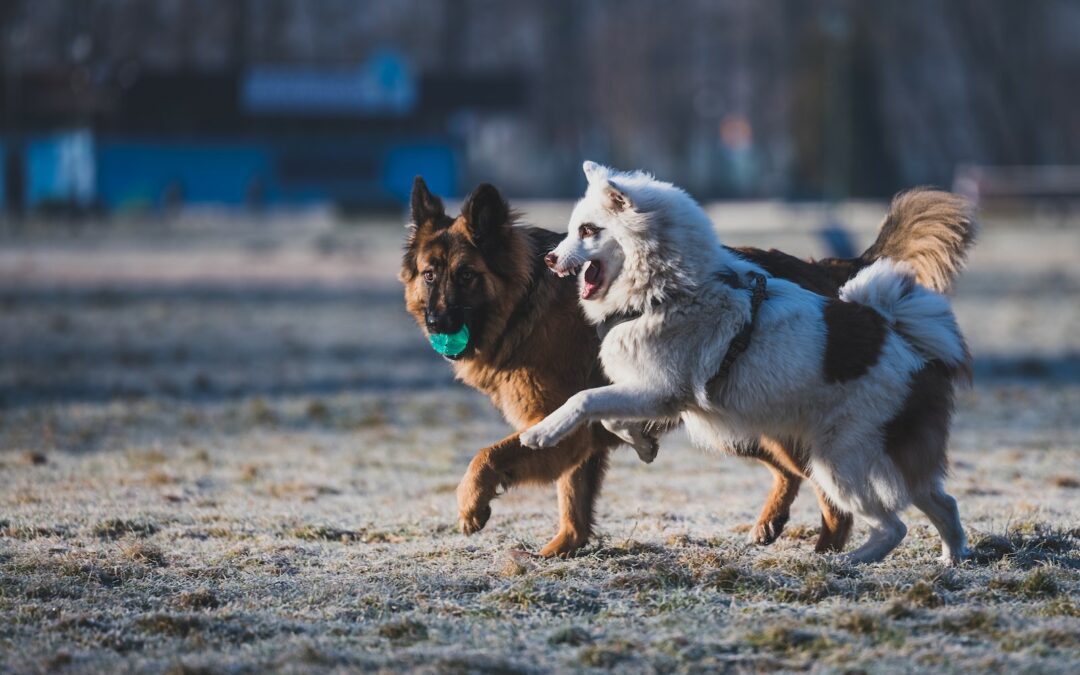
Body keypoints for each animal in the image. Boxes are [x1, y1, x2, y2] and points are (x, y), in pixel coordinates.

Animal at [401, 176, 976, 557]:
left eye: (466, 275)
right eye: (430, 274)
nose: (436, 320)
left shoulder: (622, 401)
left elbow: (525, 440)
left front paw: (473, 506)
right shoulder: (648, 398)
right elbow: (581, 481)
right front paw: (566, 544)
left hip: (833, 452)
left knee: (872, 513)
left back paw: (839, 555)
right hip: (755, 426)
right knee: (933, 500)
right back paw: (948, 559)